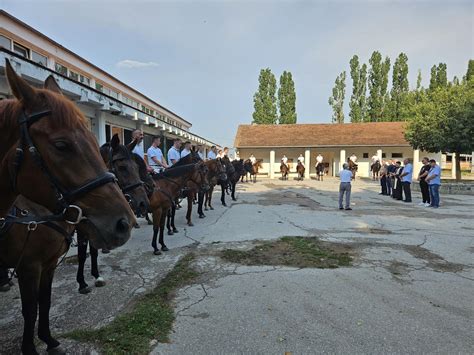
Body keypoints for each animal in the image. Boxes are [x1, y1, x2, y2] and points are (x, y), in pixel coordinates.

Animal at [0, 63, 134, 354]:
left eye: (94, 142)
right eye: (61, 145)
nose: (125, 223)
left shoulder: (49, 263)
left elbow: (46, 302)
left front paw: (49, 339)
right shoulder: (29, 266)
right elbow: (30, 309)